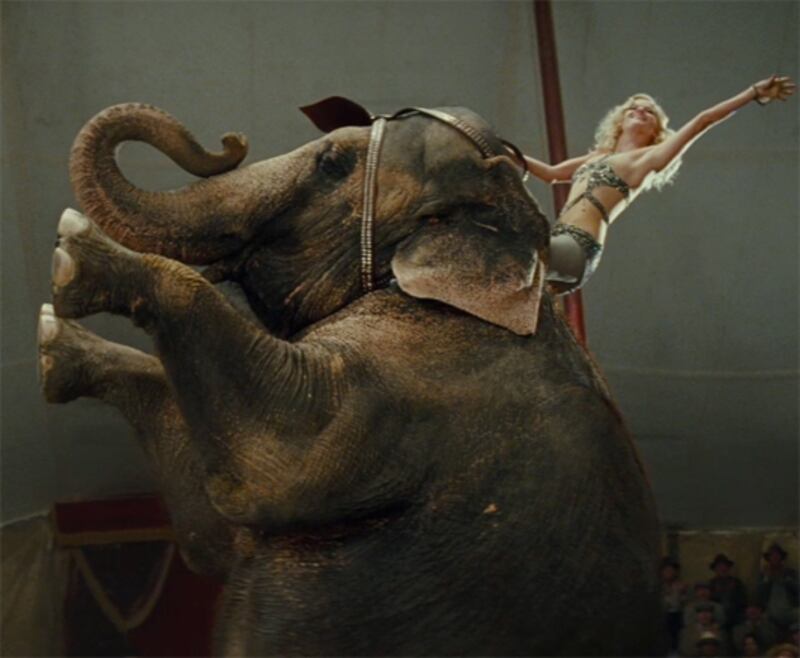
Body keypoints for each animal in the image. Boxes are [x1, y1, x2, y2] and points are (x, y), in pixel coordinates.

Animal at [37, 99, 663, 656]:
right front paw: (53, 339)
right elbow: (209, 532)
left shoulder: (419, 377)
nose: (230, 141)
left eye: (332, 163)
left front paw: (72, 252)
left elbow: (270, 463)